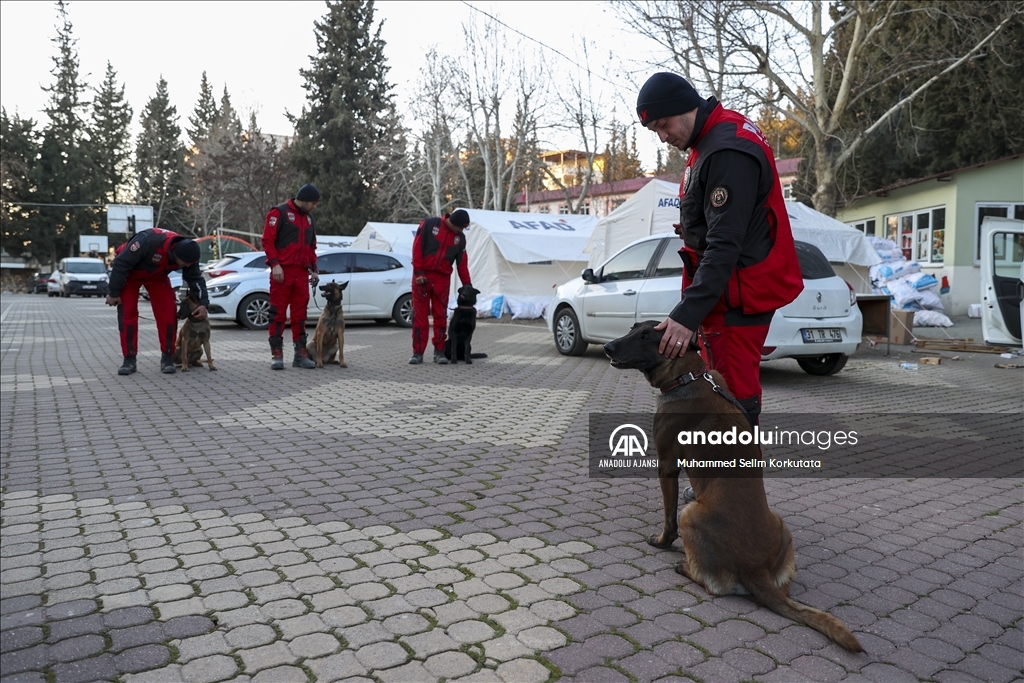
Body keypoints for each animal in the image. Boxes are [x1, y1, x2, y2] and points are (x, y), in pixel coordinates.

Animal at [602, 323, 860, 655]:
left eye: (646, 336)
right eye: (633, 330)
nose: (607, 347)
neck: (689, 375)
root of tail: (755, 569)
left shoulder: (667, 466)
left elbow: (667, 518)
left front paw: (661, 541)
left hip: (690, 515)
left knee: (713, 583)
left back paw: (685, 567)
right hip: (780, 527)